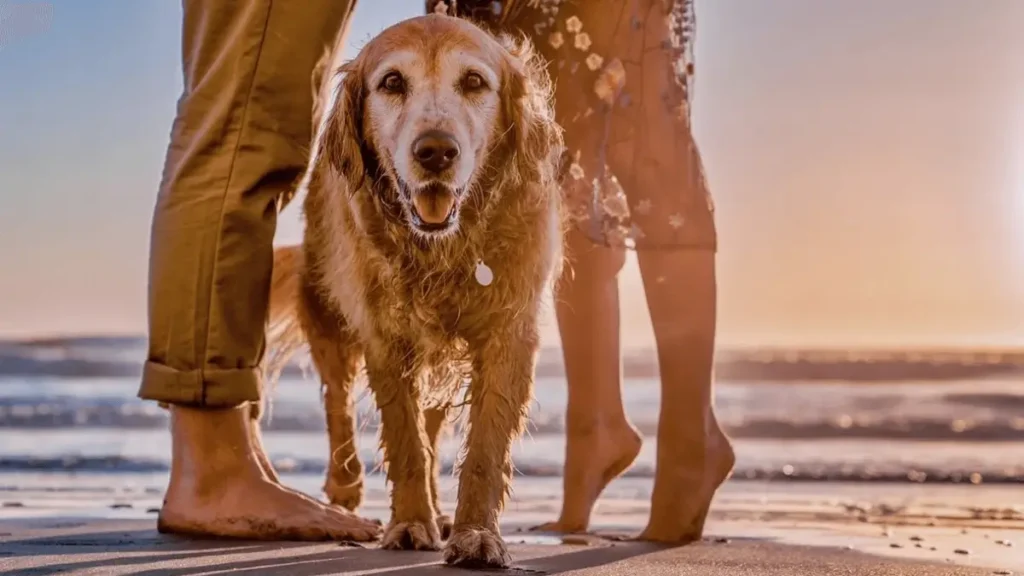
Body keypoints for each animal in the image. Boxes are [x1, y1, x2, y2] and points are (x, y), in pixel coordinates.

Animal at [268, 12, 565, 565]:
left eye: (473, 81)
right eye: (391, 82)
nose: (436, 152)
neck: (443, 247)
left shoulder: (510, 332)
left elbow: (484, 447)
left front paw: (476, 533)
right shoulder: (386, 336)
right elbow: (405, 439)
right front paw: (408, 523)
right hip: (327, 309)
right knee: (337, 399)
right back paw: (344, 487)